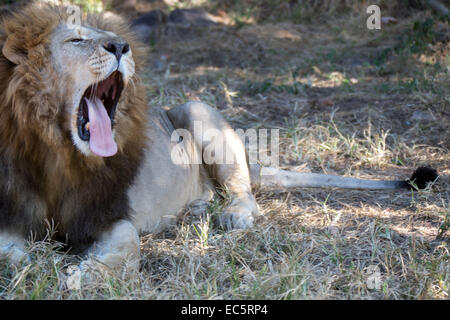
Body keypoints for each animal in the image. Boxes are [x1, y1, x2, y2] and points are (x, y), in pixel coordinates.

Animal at [0, 1, 438, 272]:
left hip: (197, 111)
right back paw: (195, 209)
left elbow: (124, 249)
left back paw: (231, 214)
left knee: (244, 192)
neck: (61, 156)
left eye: (111, 36)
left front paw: (84, 275)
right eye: (75, 39)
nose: (122, 45)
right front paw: (43, 263)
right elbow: (12, 255)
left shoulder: (113, 216)